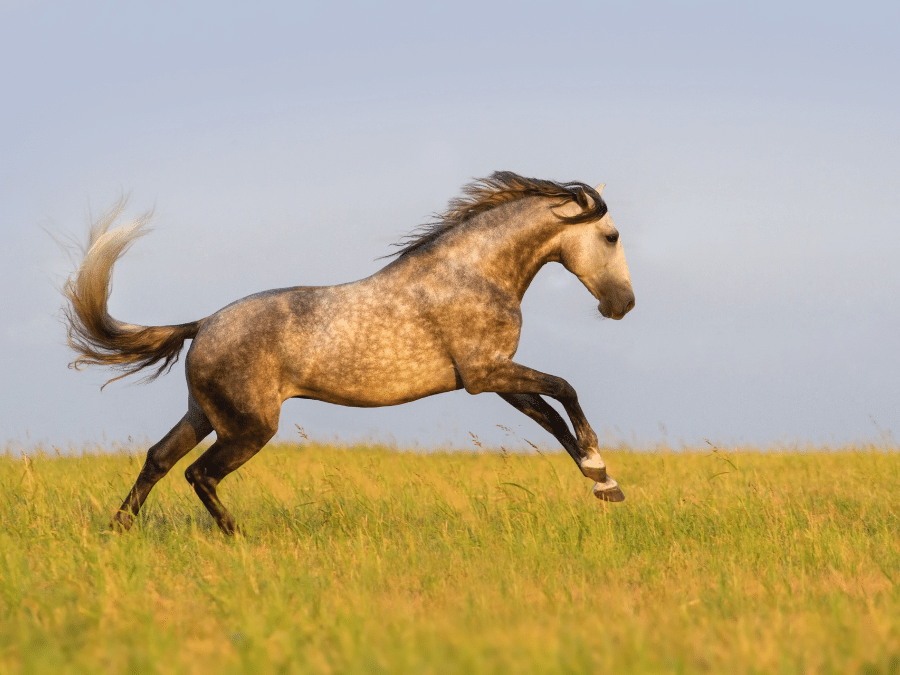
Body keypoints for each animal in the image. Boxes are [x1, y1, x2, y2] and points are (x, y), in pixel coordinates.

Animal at [63, 172, 636, 536]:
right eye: (611, 237)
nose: (623, 305)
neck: (471, 274)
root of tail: (202, 325)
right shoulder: (488, 373)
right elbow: (565, 390)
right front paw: (599, 468)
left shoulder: (494, 379)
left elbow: (550, 418)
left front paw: (604, 483)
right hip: (249, 428)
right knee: (198, 474)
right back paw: (238, 537)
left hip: (204, 415)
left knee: (158, 460)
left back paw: (117, 532)